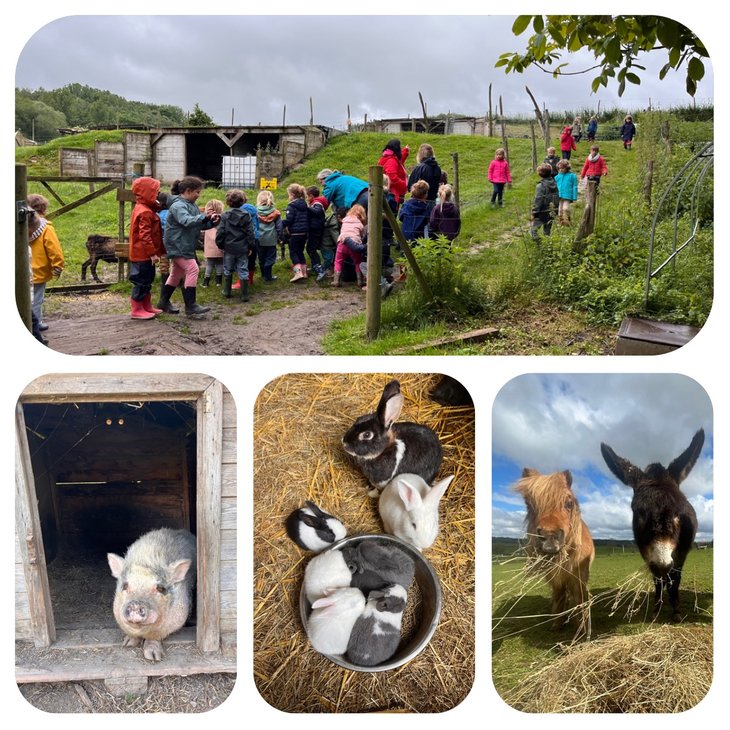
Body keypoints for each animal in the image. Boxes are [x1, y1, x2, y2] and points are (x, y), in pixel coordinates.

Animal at [516, 466, 596, 636]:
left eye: (568, 503)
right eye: (528, 504)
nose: (550, 537)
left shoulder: (579, 575)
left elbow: (579, 597)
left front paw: (582, 628)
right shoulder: (554, 577)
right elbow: (559, 596)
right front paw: (558, 623)